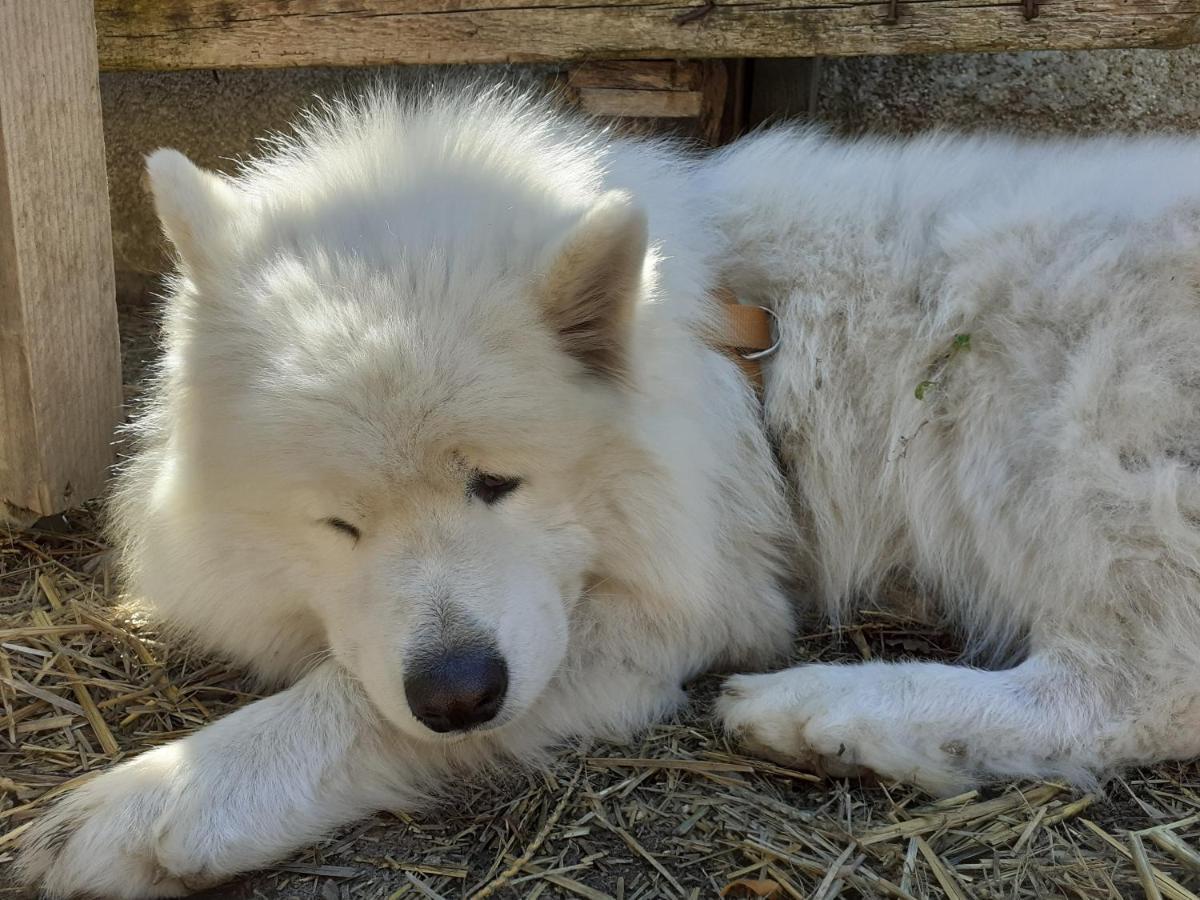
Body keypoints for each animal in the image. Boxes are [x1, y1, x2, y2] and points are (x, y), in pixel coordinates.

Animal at [16, 82, 1200, 897]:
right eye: (338, 523)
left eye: (500, 484)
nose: (459, 692)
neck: (726, 350)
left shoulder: (681, 604)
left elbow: (345, 701)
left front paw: (160, 797)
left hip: (1065, 433)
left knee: (1134, 689)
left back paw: (829, 709)